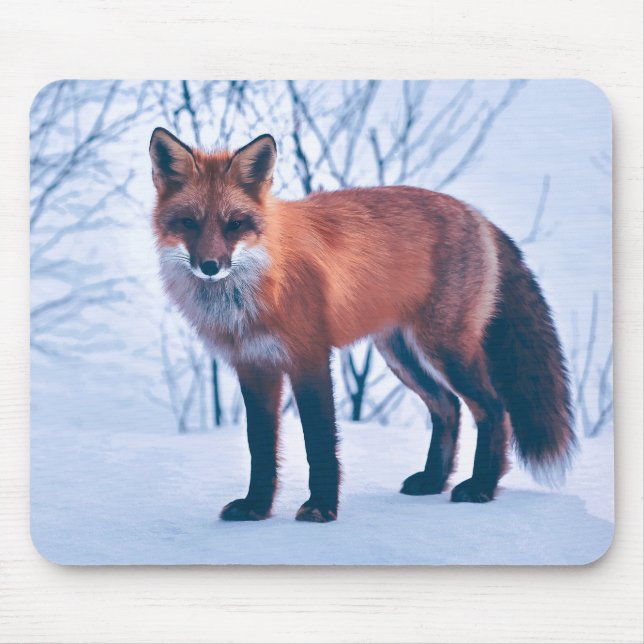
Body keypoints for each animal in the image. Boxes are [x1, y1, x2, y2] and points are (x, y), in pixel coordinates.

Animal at [149, 127, 576, 523]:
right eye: (189, 222)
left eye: (234, 224)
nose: (210, 266)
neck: (253, 290)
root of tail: (477, 214)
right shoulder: (254, 366)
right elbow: (261, 447)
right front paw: (256, 507)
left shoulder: (310, 357)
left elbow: (320, 442)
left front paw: (321, 507)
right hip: (401, 354)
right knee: (448, 407)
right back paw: (433, 481)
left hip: (445, 349)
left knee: (494, 408)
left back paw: (482, 487)